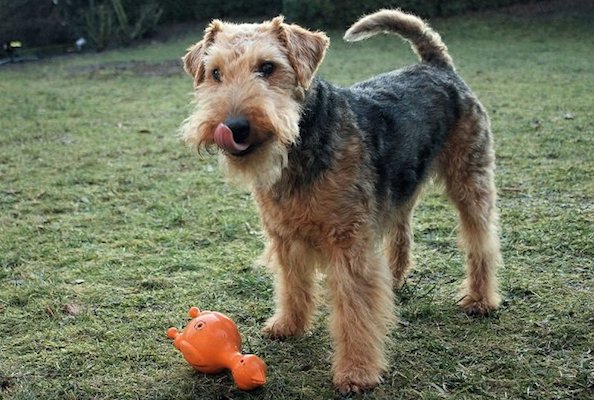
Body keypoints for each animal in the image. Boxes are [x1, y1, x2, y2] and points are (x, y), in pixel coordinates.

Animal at [179, 8, 500, 394]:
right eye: (215, 73)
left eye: (268, 67)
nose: (235, 126)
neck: (299, 147)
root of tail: (437, 66)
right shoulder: (284, 236)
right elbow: (292, 286)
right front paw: (288, 325)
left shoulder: (348, 243)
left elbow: (354, 312)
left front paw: (356, 372)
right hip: (399, 187)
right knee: (402, 231)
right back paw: (395, 279)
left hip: (470, 179)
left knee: (480, 239)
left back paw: (480, 300)